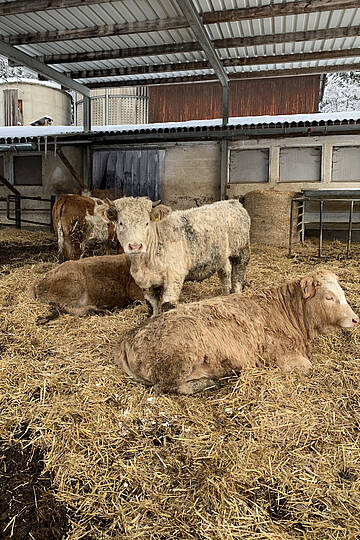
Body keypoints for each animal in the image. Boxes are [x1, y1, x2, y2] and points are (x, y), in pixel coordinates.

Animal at [107, 198, 250, 316]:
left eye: (147, 223)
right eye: (121, 223)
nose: (136, 246)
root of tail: (233, 202)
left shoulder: (174, 276)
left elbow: (167, 305)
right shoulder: (146, 284)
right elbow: (152, 307)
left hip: (241, 251)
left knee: (238, 277)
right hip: (221, 256)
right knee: (225, 273)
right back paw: (225, 296)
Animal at [114, 272, 358, 394]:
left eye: (342, 293)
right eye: (329, 297)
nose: (356, 319)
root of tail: (129, 336)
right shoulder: (283, 357)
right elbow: (309, 369)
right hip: (181, 358)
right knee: (164, 387)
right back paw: (208, 383)